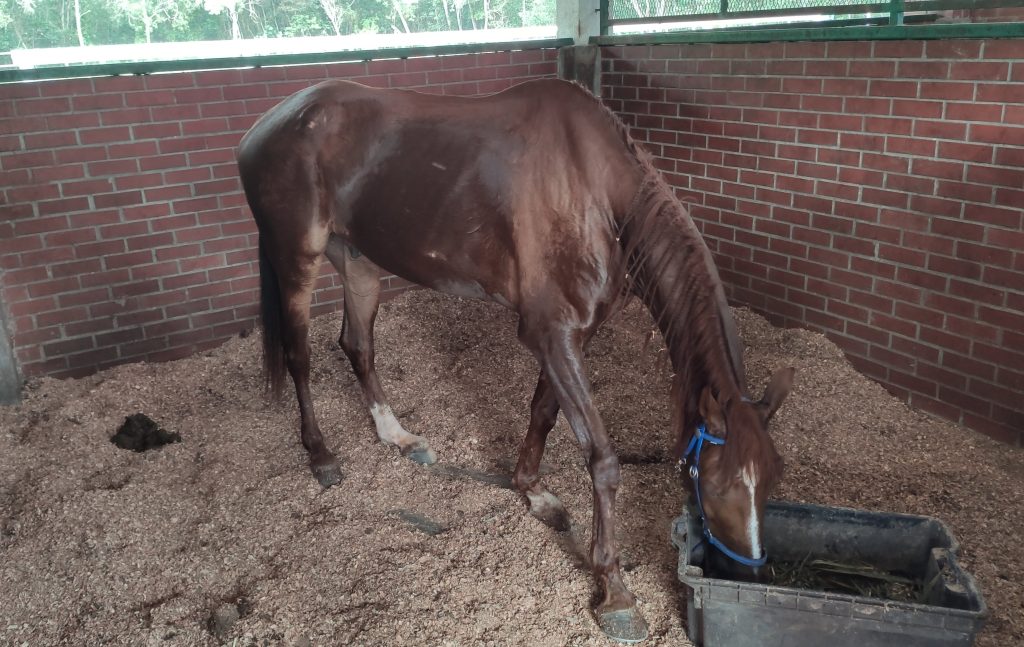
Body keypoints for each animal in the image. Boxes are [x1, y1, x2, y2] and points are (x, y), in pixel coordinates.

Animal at [237, 77, 790, 642]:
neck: (596, 189)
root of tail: (269, 124)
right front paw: (614, 591)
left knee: (357, 345)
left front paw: (532, 492)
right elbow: (602, 459)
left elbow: (543, 413)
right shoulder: (552, 333)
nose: (747, 575)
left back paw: (398, 437)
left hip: (358, 260)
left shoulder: (570, 336)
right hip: (296, 258)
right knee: (300, 356)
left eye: (774, 477)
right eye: (716, 485)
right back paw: (321, 455)